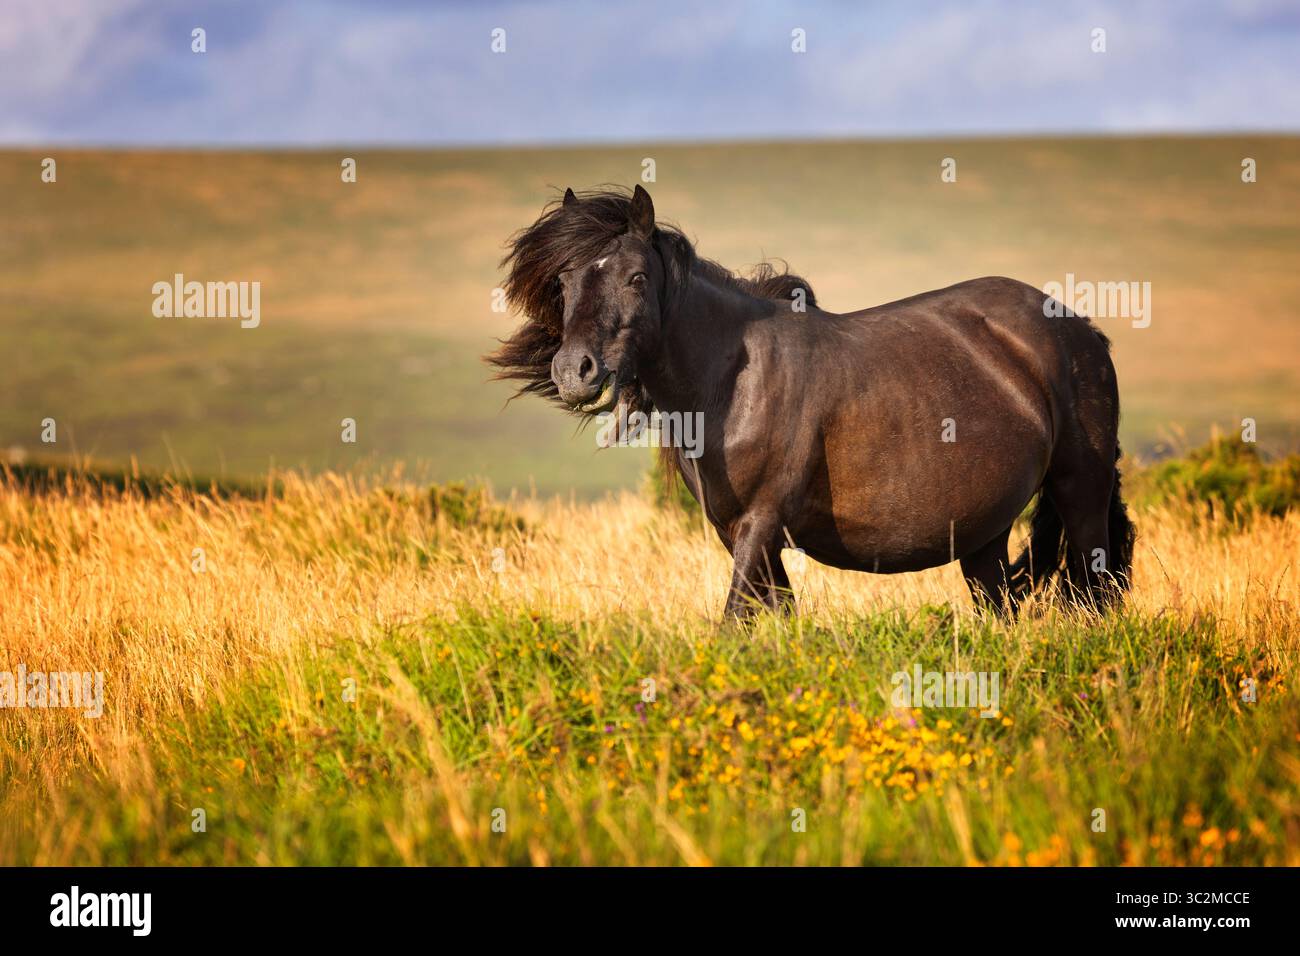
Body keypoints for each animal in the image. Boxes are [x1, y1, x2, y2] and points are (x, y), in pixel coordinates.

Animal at [487, 185, 1135, 620]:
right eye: (564, 282)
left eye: (636, 278)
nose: (574, 371)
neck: (733, 383)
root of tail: (1078, 328)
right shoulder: (742, 534)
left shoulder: (761, 522)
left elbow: (733, 621)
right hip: (983, 535)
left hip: (1080, 490)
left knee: (1094, 589)